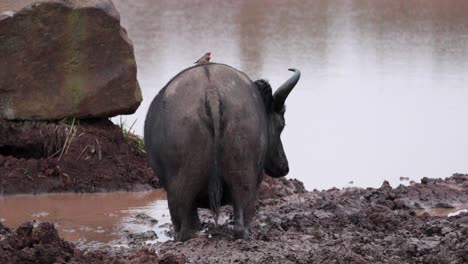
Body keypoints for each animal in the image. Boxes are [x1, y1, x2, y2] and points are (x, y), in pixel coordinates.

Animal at [144, 63, 302, 241]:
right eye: (281, 124)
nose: (284, 167)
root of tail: (212, 92)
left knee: (187, 229)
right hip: (242, 179)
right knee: (239, 223)